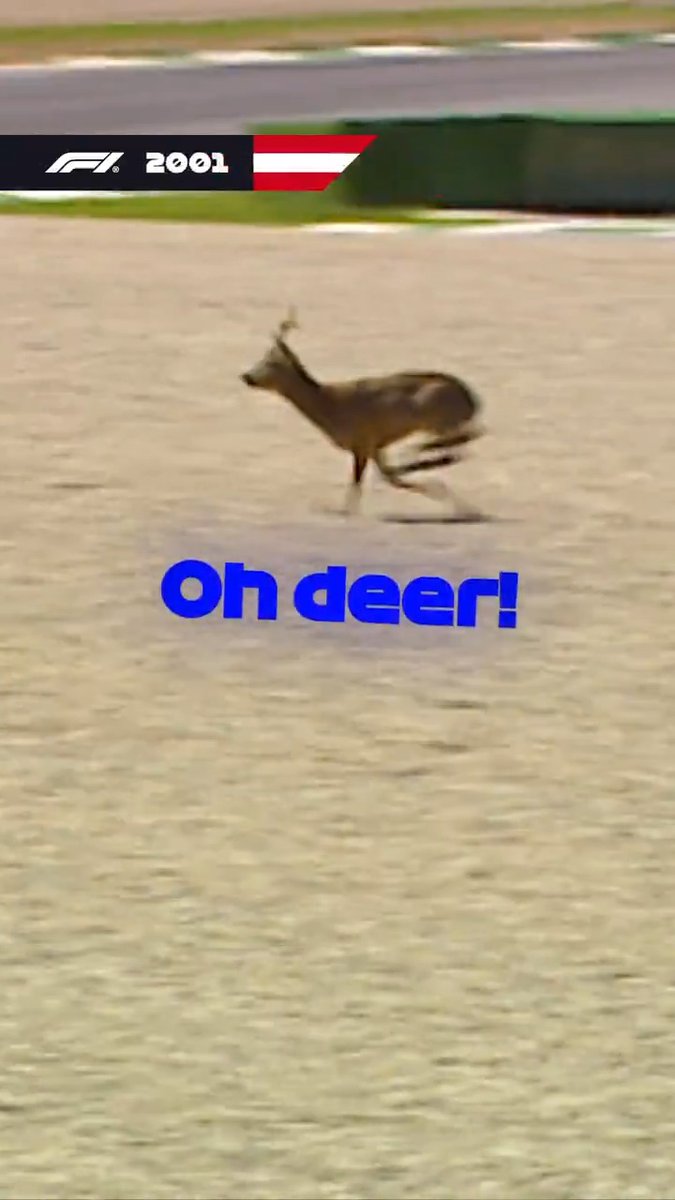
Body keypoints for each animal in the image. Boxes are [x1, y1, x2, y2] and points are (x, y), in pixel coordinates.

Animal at [240, 307, 485, 518]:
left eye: (270, 362)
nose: (247, 377)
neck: (328, 406)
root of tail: (472, 399)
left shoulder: (362, 442)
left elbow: (359, 482)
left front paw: (342, 510)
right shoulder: (375, 446)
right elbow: (390, 478)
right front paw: (455, 501)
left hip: (434, 415)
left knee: (466, 439)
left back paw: (417, 454)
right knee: (465, 442)